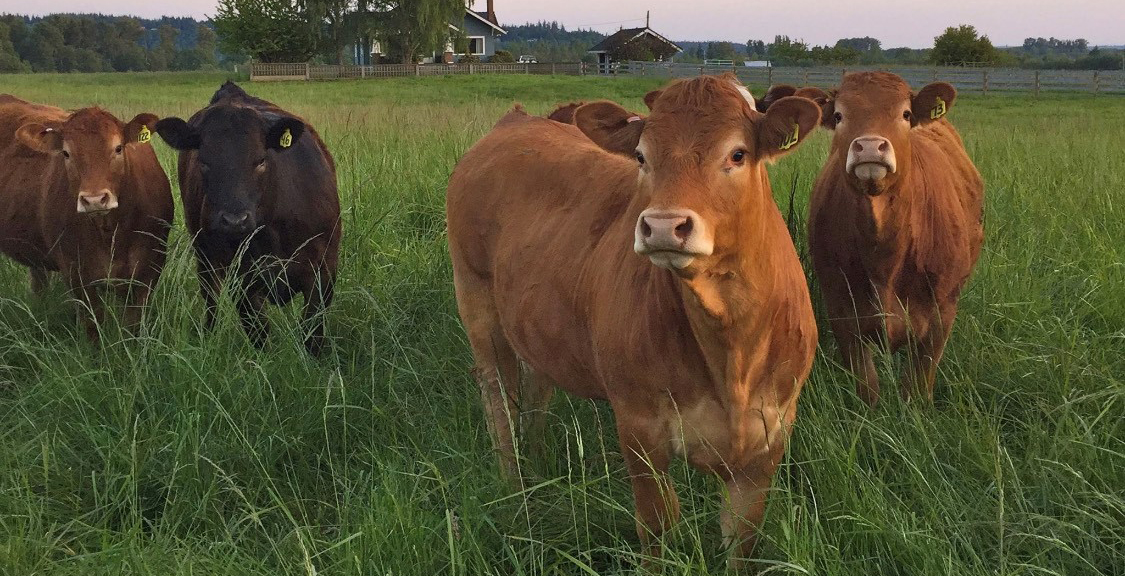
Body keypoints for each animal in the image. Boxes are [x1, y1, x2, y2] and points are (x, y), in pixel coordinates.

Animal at [0, 95, 172, 341]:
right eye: (66, 153)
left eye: (118, 148)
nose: (94, 199)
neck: (110, 231)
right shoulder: (76, 274)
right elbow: (93, 329)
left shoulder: (147, 271)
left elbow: (132, 327)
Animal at [153, 82, 341, 355]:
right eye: (204, 161)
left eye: (261, 160)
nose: (234, 220)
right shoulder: (242, 279)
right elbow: (259, 333)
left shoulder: (324, 271)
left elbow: (312, 334)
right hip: (204, 257)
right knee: (211, 301)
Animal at [446, 75, 821, 566]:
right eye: (642, 156)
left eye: (738, 154)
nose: (663, 226)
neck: (731, 344)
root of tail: (517, 122)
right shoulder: (639, 426)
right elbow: (657, 526)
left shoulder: (770, 436)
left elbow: (742, 538)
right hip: (477, 305)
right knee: (499, 400)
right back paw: (514, 486)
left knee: (535, 388)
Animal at [803, 72, 984, 406]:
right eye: (839, 115)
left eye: (906, 114)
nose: (869, 147)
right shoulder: (841, 309)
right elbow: (867, 385)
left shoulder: (942, 312)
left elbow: (918, 384)